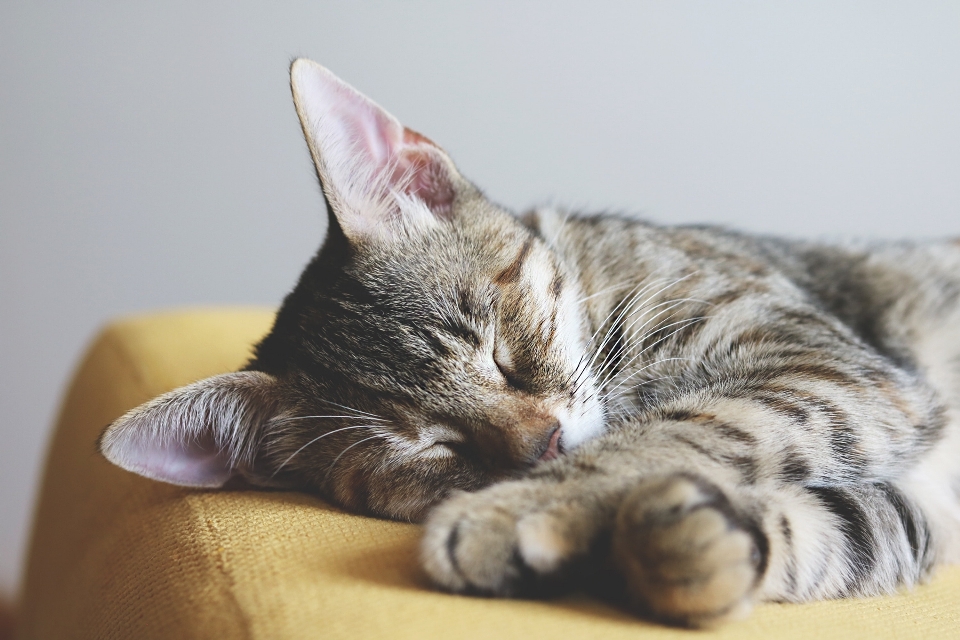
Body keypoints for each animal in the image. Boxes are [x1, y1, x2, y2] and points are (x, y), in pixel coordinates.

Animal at [95, 60, 960, 624]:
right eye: (432, 447)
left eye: (498, 350)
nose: (541, 445)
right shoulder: (913, 494)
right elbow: (837, 526)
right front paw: (685, 544)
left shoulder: (833, 366)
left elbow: (681, 428)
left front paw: (523, 512)